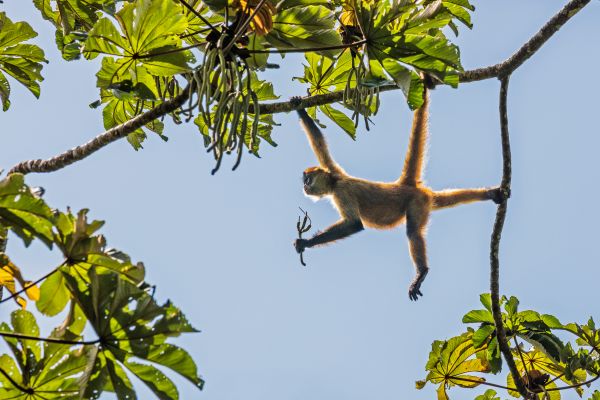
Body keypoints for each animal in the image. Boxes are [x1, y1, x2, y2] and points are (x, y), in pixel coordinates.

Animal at [290, 81, 506, 300]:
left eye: (308, 179)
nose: (304, 186)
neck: (335, 181)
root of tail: (404, 184)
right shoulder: (333, 169)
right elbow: (319, 142)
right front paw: (300, 109)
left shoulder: (343, 191)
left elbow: (354, 224)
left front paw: (304, 243)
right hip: (425, 200)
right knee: (445, 199)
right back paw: (491, 193)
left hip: (416, 203)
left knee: (413, 231)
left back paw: (421, 272)